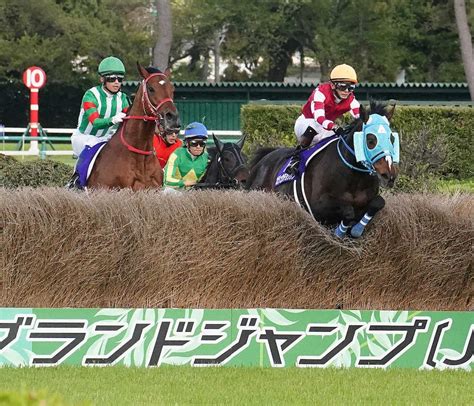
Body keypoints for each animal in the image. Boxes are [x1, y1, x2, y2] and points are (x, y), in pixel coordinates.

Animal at [246, 101, 398, 238]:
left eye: (391, 138)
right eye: (371, 140)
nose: (389, 175)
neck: (354, 176)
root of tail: (264, 159)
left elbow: (378, 202)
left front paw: (356, 229)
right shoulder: (317, 207)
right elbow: (349, 211)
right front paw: (340, 232)